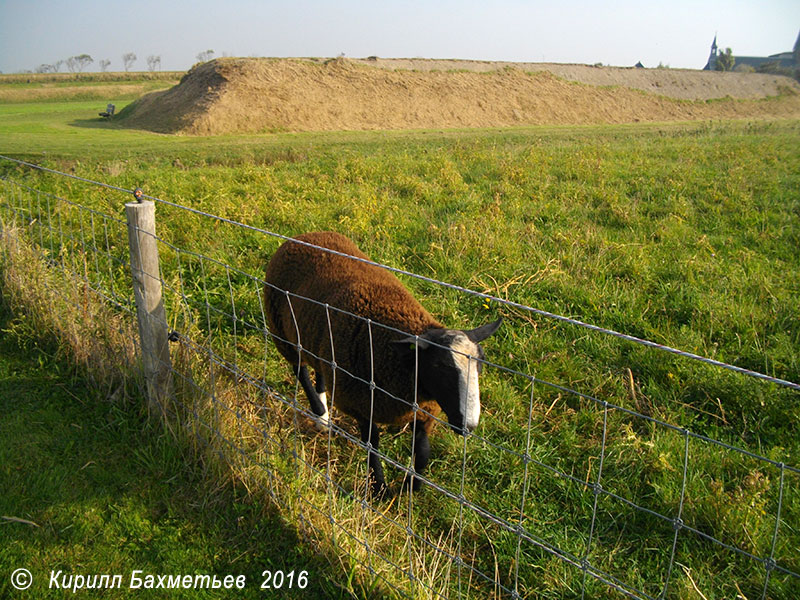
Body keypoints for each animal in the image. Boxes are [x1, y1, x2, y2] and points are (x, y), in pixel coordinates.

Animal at [262, 232, 500, 494]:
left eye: (481, 363)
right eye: (439, 366)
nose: (469, 426)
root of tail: (302, 236)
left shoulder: (424, 412)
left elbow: (422, 453)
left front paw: (410, 487)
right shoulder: (361, 405)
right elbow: (372, 445)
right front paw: (380, 488)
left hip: (313, 338)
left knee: (321, 371)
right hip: (283, 335)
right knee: (300, 371)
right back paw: (321, 416)